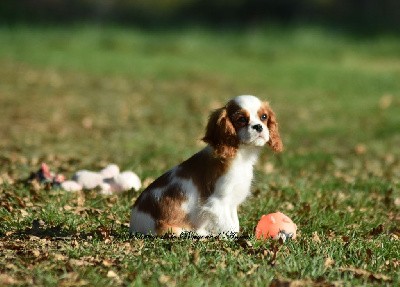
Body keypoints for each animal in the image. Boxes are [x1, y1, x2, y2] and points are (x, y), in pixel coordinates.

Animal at [130, 95, 282, 237]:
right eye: (241, 119)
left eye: (264, 117)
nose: (259, 126)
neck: (241, 156)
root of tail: (133, 224)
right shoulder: (218, 202)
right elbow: (229, 226)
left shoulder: (231, 203)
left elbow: (235, 223)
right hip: (172, 229)